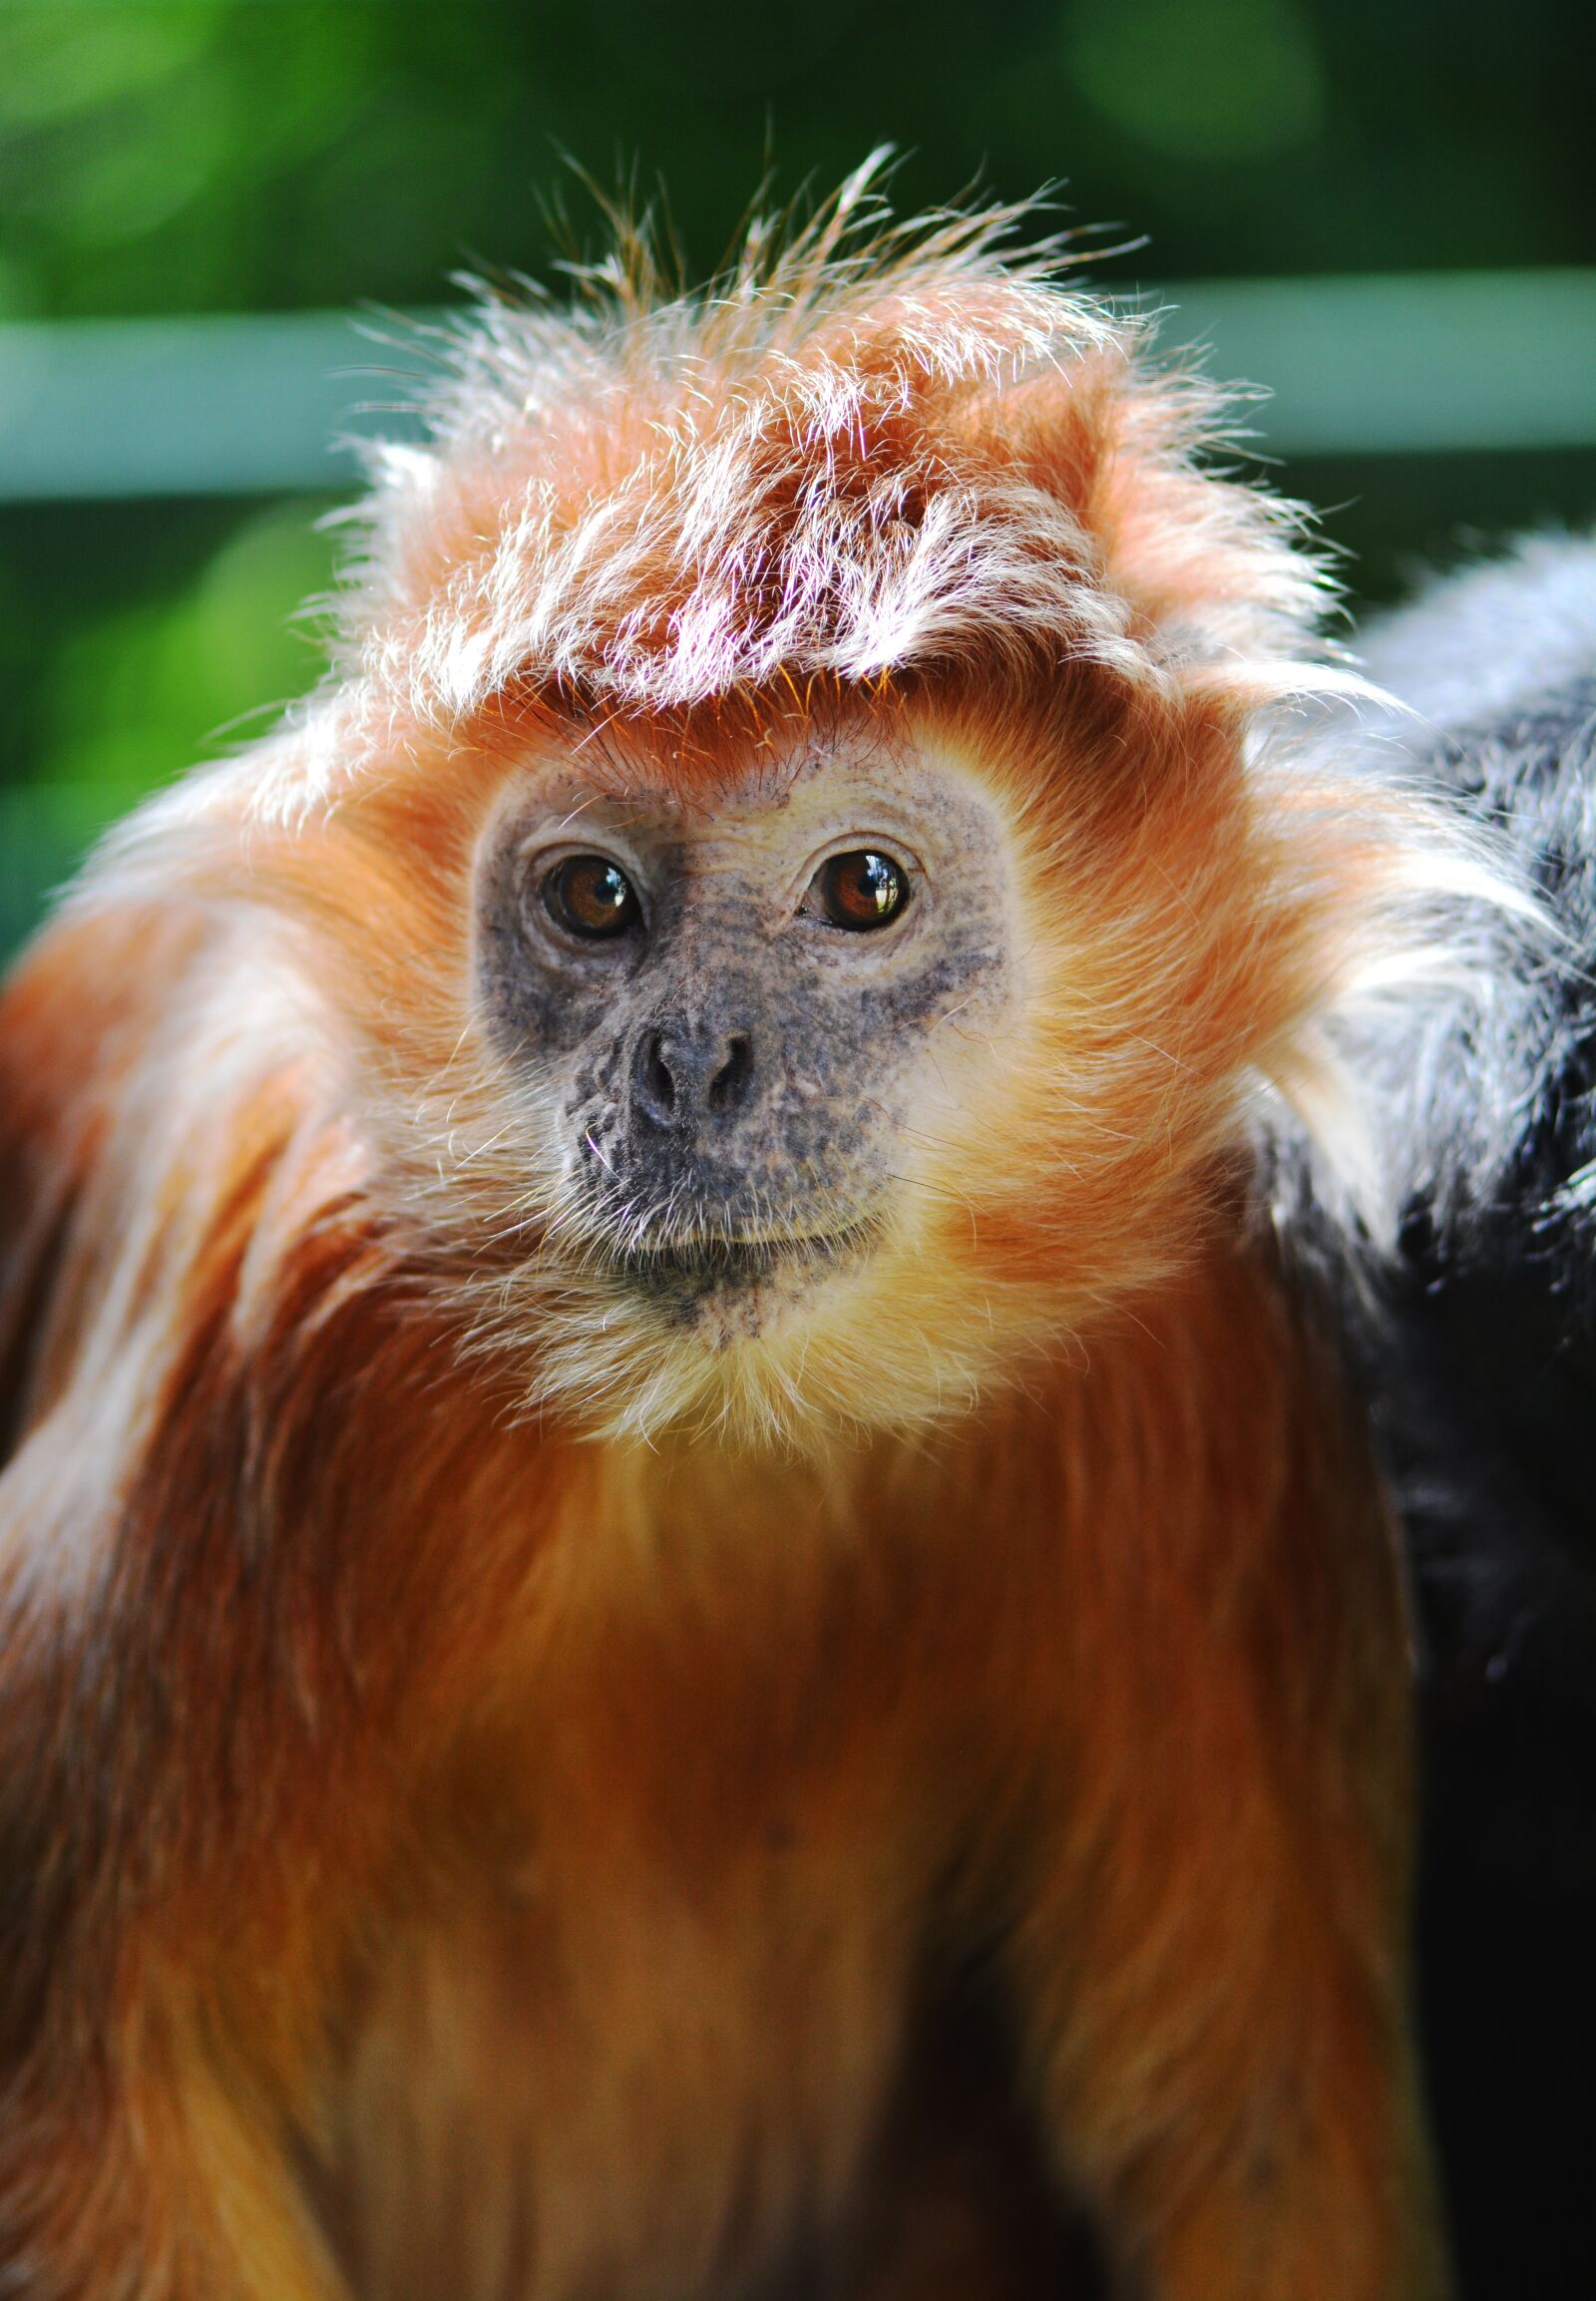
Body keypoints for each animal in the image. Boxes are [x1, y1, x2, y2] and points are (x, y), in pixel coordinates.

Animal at [0, 176, 1477, 2300]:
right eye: (594, 899)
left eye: (862, 888)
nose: (694, 1062)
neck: (747, 1418)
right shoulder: (291, 1345)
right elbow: (102, 2098)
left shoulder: (1209, 1358)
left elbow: (1261, 2141)